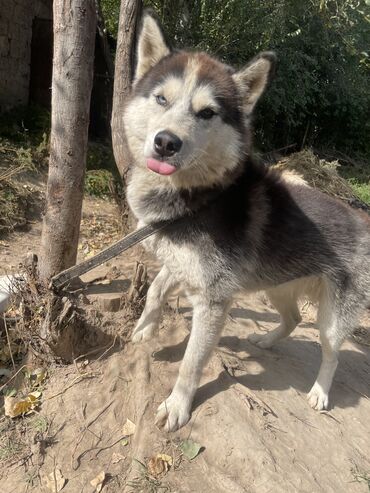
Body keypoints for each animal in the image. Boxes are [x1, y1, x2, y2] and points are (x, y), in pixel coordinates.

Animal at [124, 11, 370, 430]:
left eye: (207, 113)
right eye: (161, 99)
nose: (166, 142)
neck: (201, 196)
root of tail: (362, 219)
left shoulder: (212, 300)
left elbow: (191, 362)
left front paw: (178, 405)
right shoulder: (179, 263)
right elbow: (155, 291)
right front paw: (144, 331)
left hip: (332, 319)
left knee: (331, 353)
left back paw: (320, 392)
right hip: (278, 287)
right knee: (292, 319)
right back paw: (265, 341)